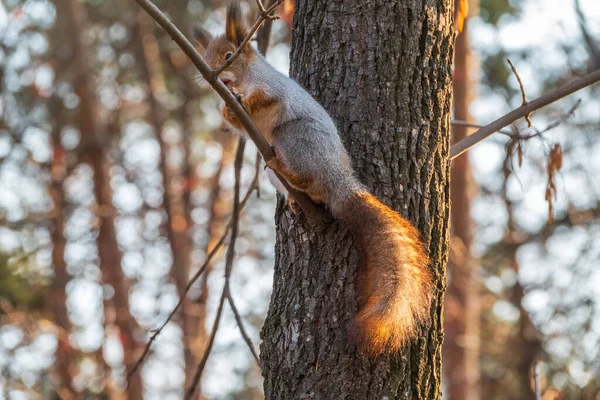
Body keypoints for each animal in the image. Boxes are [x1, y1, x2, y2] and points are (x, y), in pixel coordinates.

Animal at [195, 3, 434, 356]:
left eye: (227, 56)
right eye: (207, 57)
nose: (213, 77)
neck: (245, 77)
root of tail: (340, 181)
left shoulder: (271, 88)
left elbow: (264, 99)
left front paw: (243, 102)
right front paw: (227, 110)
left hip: (295, 138)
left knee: (301, 169)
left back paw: (290, 172)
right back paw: (296, 199)